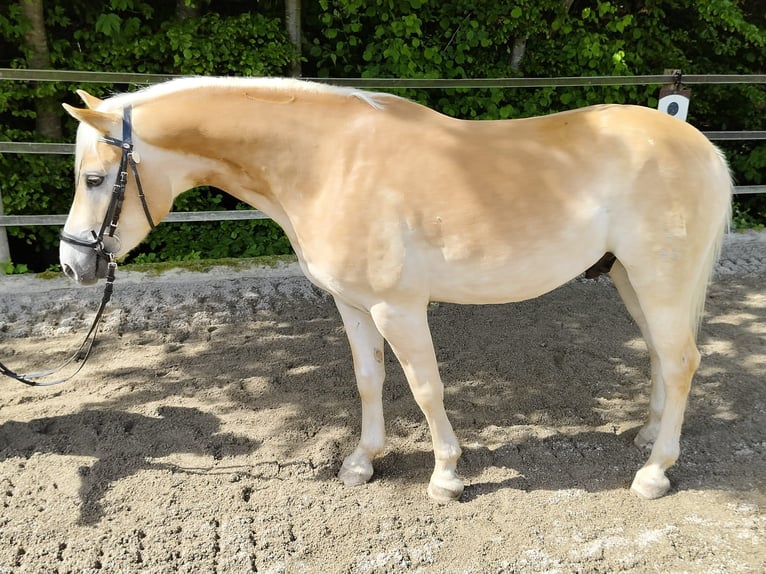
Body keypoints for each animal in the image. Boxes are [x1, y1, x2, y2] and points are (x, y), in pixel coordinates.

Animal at [60, 74, 732, 502]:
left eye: (94, 178)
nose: (73, 264)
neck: (330, 164)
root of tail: (699, 145)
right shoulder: (353, 305)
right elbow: (369, 379)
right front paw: (363, 462)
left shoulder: (398, 308)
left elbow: (425, 387)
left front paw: (446, 477)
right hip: (630, 279)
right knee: (661, 356)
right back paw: (647, 436)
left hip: (660, 279)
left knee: (681, 360)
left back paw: (654, 472)